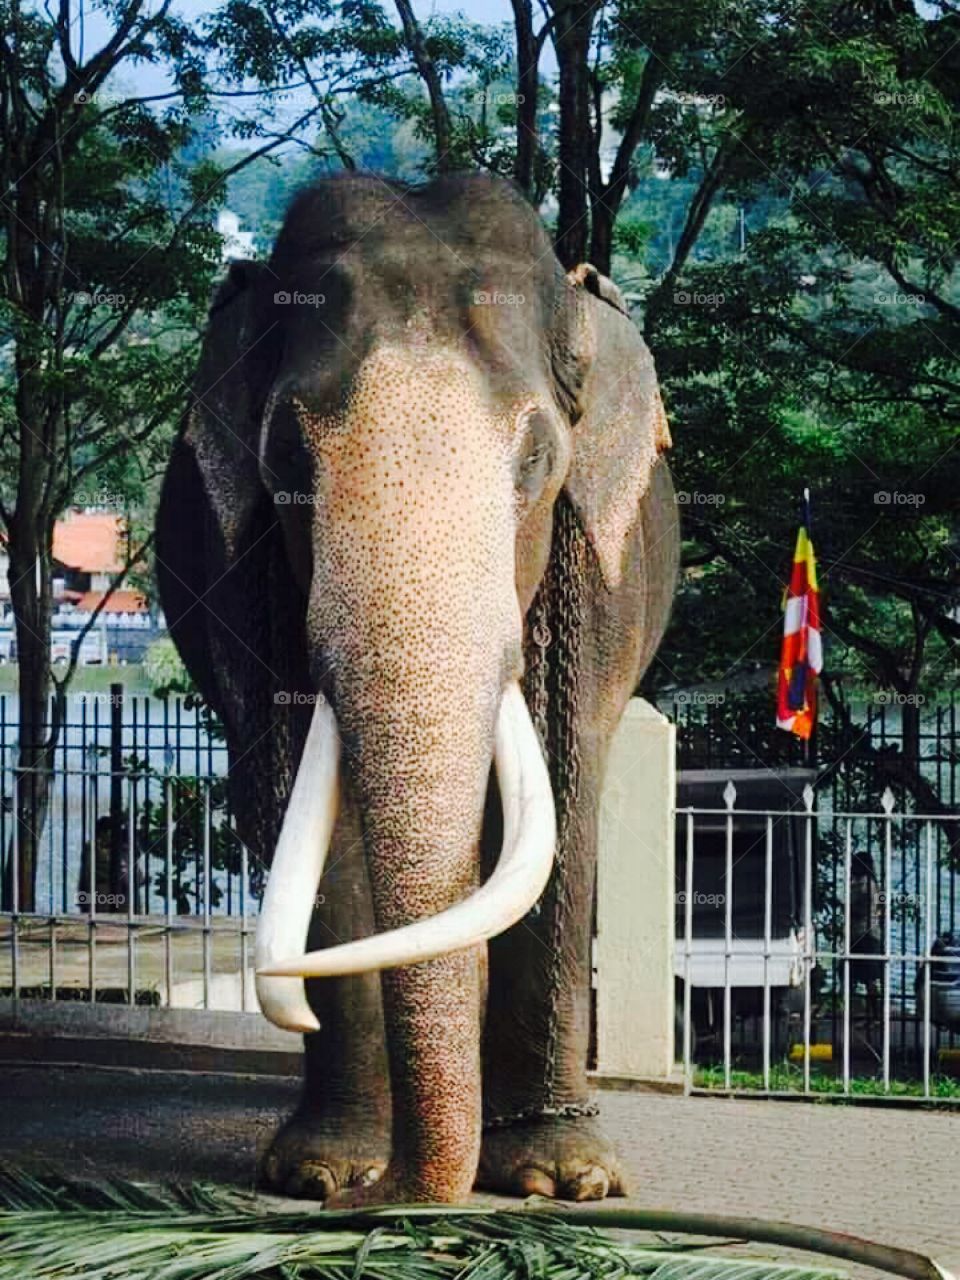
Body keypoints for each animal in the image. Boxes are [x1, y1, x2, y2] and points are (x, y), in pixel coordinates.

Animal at [156, 172, 679, 1206]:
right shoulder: (237, 582)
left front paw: (562, 1178)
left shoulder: (602, 576)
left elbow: (565, 799)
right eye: (285, 458)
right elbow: (308, 806)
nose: (382, 1197)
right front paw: (324, 1168)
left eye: (537, 461)